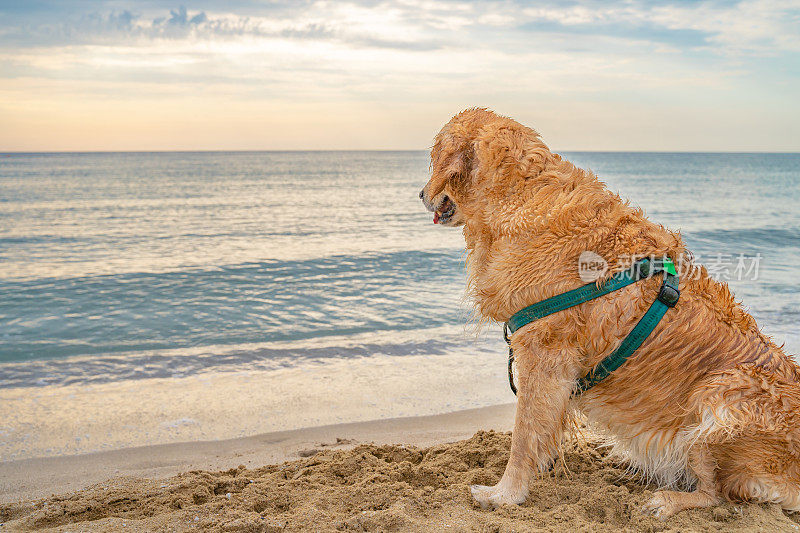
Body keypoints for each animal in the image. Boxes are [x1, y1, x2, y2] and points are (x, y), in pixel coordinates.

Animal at [418, 106, 800, 516]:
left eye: (434, 157)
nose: (420, 193)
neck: (518, 194)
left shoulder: (545, 354)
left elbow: (523, 437)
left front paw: (505, 494)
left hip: (719, 398)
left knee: (715, 493)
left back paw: (668, 500)